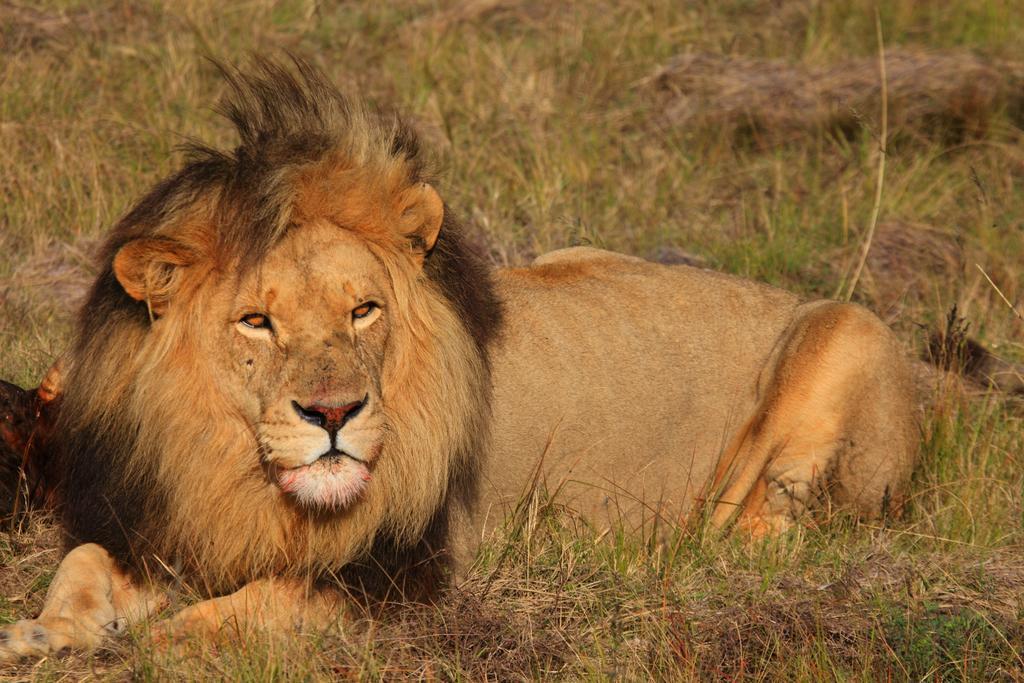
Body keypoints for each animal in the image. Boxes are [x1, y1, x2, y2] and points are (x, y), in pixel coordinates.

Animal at [0, 60, 921, 663]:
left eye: (363, 309)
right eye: (256, 322)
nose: (333, 415)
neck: (235, 473)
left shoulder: (408, 578)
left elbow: (262, 602)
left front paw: (153, 643)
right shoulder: (161, 526)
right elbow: (84, 562)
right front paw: (47, 630)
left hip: (849, 329)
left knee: (782, 526)